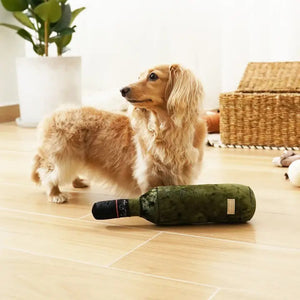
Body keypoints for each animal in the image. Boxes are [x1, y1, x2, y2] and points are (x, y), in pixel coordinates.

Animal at [32, 64, 206, 203]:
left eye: (153, 76)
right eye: (138, 76)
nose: (123, 90)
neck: (165, 128)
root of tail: (53, 114)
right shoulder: (148, 172)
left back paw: (79, 182)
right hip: (63, 158)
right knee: (48, 174)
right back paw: (56, 194)